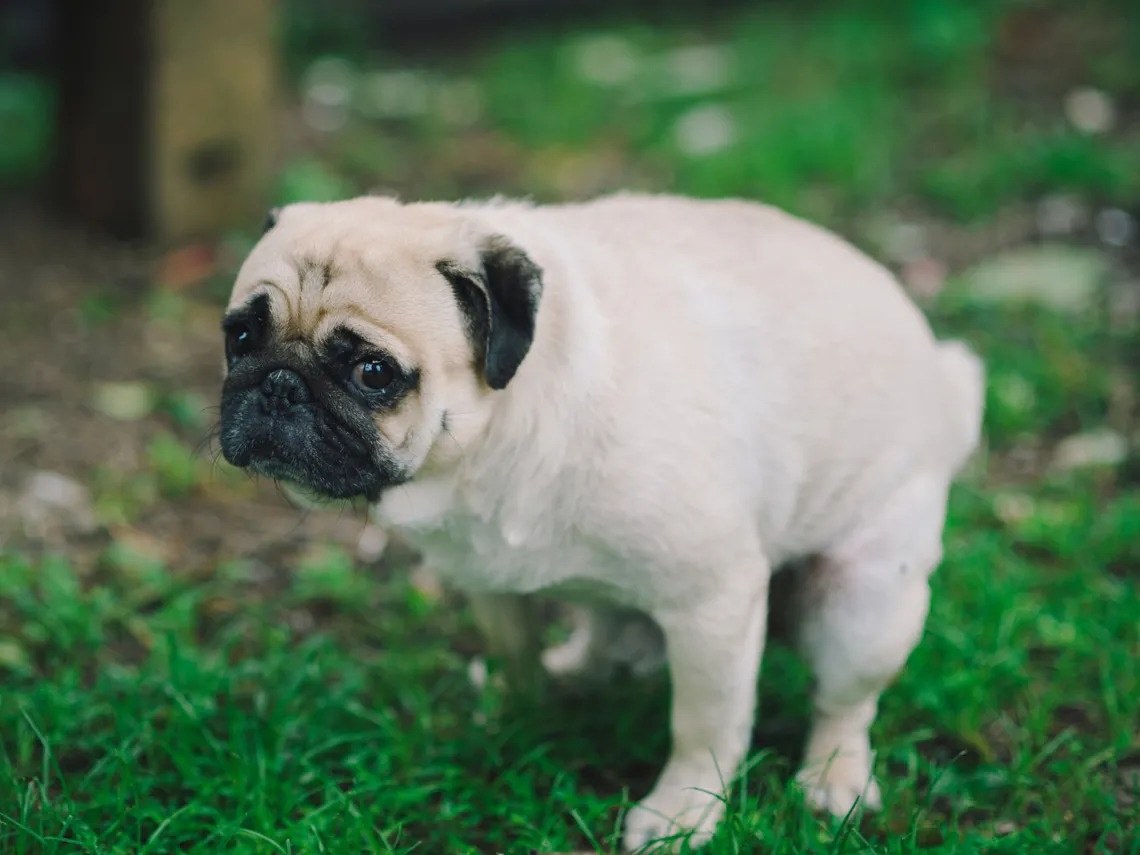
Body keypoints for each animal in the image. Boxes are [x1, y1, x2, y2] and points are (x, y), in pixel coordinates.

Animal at [217, 192, 984, 852]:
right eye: (240, 337)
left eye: (374, 373)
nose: (278, 384)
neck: (493, 443)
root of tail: (943, 385)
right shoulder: (489, 582)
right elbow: (516, 653)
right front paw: (519, 714)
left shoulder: (712, 601)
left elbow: (704, 723)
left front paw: (683, 811)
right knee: (604, 628)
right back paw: (579, 670)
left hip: (864, 605)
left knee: (844, 705)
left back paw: (832, 779)